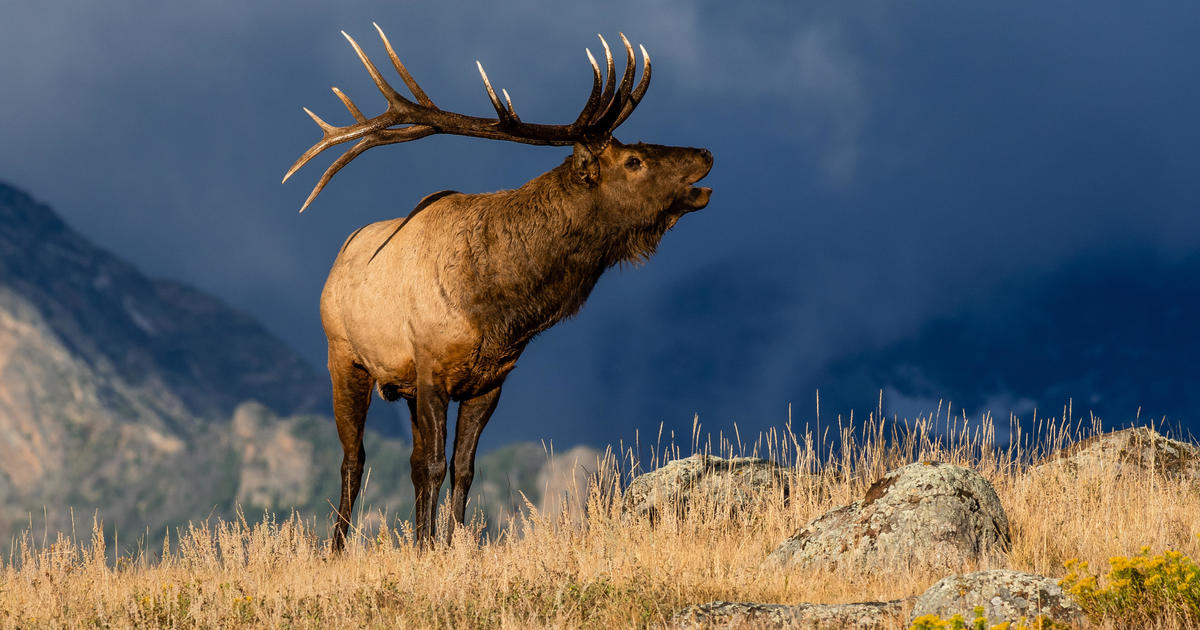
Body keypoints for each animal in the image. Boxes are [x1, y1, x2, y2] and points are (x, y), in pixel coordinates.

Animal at [283, 25, 712, 550]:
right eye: (633, 160)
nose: (705, 153)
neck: (498, 309)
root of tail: (337, 259)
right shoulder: (431, 367)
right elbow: (434, 465)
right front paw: (427, 548)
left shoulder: (490, 379)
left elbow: (462, 469)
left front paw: (449, 544)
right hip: (344, 356)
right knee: (353, 459)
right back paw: (337, 548)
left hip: (399, 384)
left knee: (406, 460)